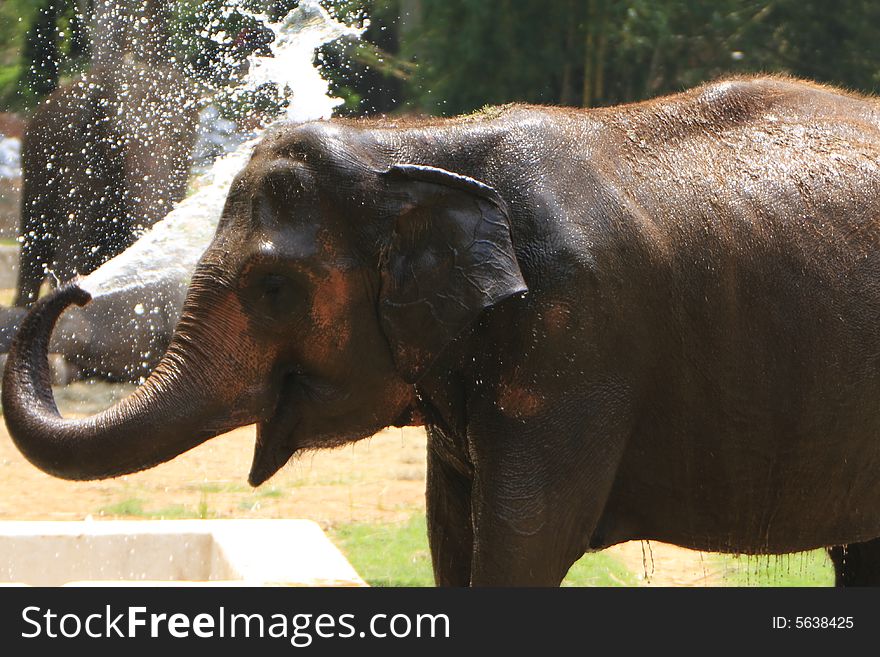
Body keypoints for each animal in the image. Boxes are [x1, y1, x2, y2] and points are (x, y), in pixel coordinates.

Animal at [14, 58, 197, 308]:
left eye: (178, 137)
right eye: (116, 141)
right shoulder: (80, 163)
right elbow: (69, 254)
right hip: (35, 177)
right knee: (34, 255)